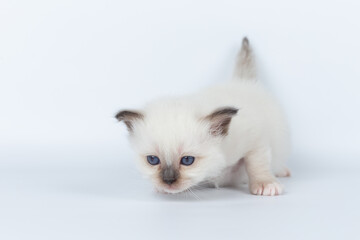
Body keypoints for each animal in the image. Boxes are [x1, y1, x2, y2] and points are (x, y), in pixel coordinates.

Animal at [116, 37, 292, 195]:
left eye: (187, 160)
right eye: (153, 160)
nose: (168, 181)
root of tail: (241, 81)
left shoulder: (255, 139)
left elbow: (257, 163)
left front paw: (265, 184)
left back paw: (282, 171)